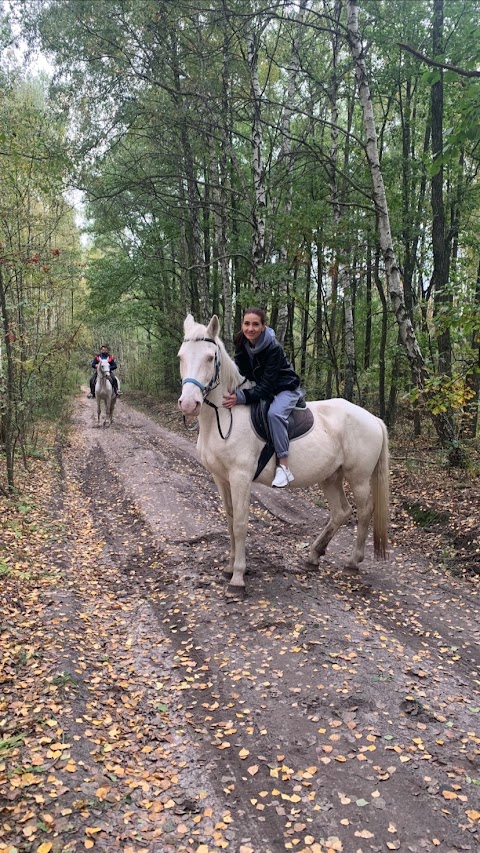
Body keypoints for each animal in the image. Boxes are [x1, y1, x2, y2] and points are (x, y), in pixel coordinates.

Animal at [178, 312, 388, 592]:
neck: (226, 414)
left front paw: (238, 577)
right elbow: (230, 520)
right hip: (331, 477)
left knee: (364, 512)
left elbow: (240, 523)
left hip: (359, 478)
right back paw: (313, 557)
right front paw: (229, 568)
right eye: (181, 356)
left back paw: (353, 562)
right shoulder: (221, 478)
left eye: (210, 358)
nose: (189, 404)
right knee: (341, 512)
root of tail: (373, 419)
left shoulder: (240, 477)